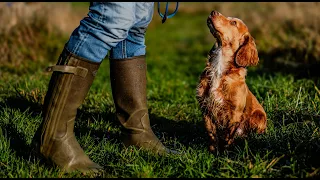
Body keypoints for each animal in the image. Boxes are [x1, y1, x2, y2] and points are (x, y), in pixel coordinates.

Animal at [195, 10, 268, 152]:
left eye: (233, 22)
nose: (213, 11)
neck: (219, 68)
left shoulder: (234, 112)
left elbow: (228, 135)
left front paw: (226, 151)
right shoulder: (206, 107)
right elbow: (211, 133)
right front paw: (213, 150)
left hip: (259, 116)